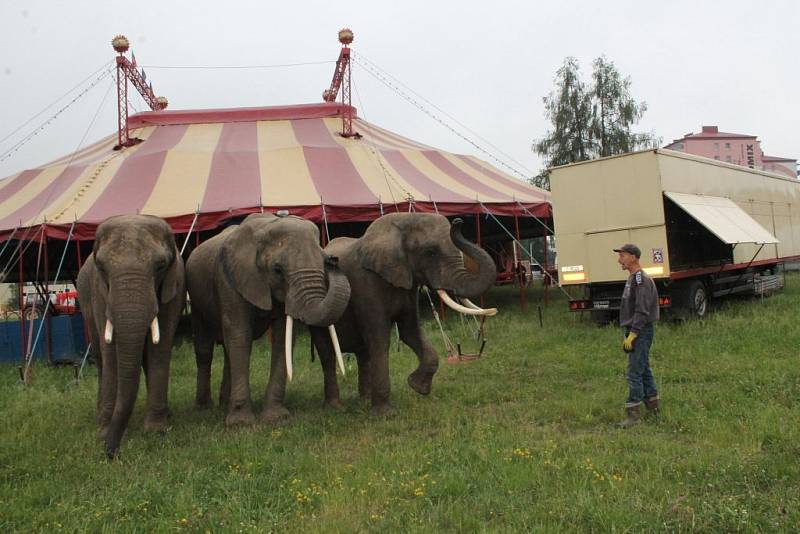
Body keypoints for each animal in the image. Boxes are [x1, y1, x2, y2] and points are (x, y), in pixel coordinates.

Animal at [189, 214, 352, 428]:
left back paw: (224, 404)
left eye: (322, 262)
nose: (333, 260)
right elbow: (240, 335)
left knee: (226, 351)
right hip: (196, 301)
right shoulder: (229, 280)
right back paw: (204, 408)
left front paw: (276, 417)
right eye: (277, 270)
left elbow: (282, 338)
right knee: (204, 349)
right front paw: (240, 424)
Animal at [310, 213, 496, 414]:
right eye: (430, 252)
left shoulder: (408, 285)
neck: (403, 220)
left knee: (363, 354)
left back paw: (364, 401)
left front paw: (417, 386)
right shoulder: (368, 285)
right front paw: (385, 414)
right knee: (328, 356)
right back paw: (334, 408)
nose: (458, 221)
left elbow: (410, 331)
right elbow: (380, 339)